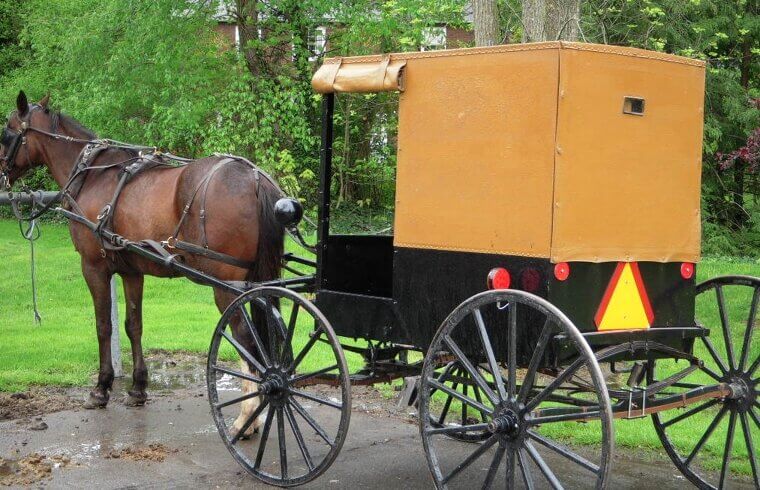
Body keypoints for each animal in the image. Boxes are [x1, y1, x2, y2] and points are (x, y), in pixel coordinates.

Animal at [1, 91, 281, 439]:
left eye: (7, 132)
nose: (1, 172)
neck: (93, 174)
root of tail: (255, 179)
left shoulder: (93, 266)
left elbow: (103, 326)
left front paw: (101, 388)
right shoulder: (132, 271)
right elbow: (133, 325)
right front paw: (137, 388)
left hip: (228, 286)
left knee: (245, 338)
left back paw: (246, 418)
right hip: (259, 281)